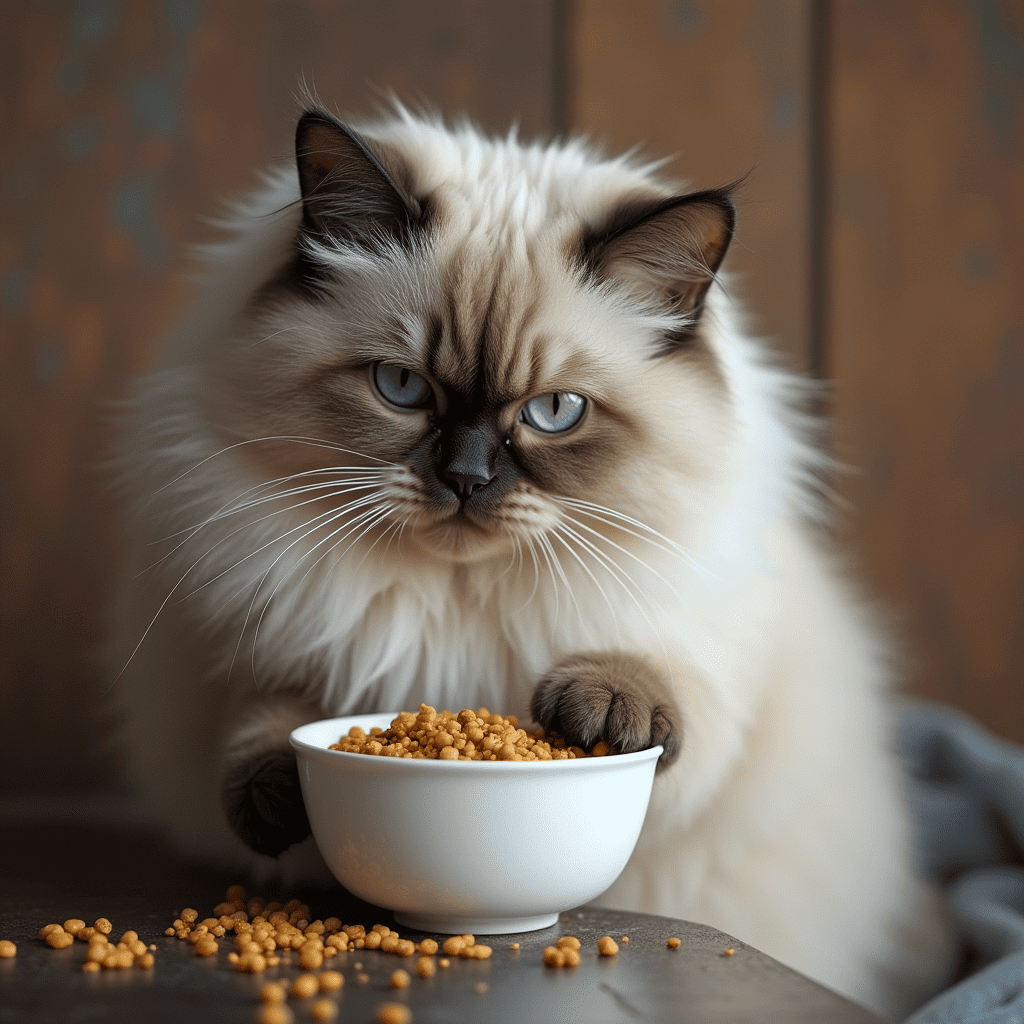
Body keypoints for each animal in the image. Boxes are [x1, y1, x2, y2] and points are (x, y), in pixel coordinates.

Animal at [110, 97, 950, 1015]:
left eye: (554, 412)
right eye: (401, 389)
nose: (467, 479)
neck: (457, 601)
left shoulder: (700, 684)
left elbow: (656, 687)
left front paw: (604, 714)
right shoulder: (250, 647)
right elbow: (276, 717)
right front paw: (280, 788)